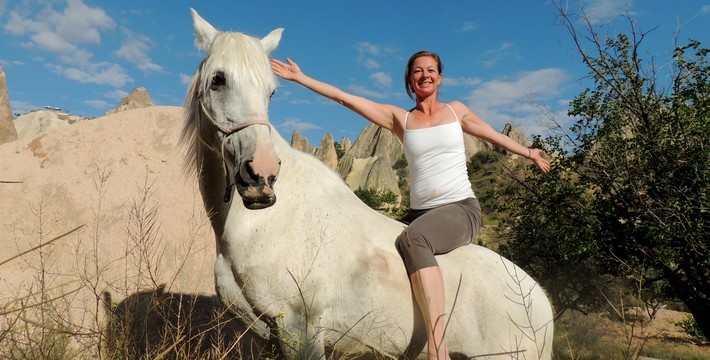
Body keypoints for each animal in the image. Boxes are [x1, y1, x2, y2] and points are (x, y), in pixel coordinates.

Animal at [179, 8, 556, 360]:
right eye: (218, 80)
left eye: (271, 91)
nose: (262, 175)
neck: (264, 224)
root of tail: (541, 303)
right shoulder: (266, 338)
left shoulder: (300, 330)